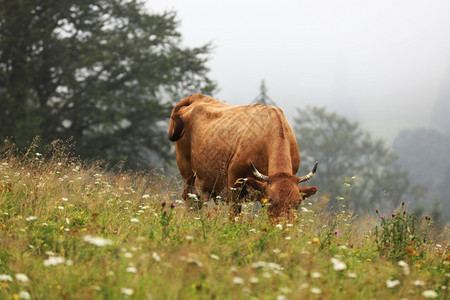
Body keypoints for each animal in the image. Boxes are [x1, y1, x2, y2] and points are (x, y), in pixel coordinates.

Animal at [167, 95, 318, 219]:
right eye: (271, 200)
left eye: (298, 202)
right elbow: (234, 217)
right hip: (188, 174)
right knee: (190, 201)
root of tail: (196, 97)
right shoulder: (234, 185)